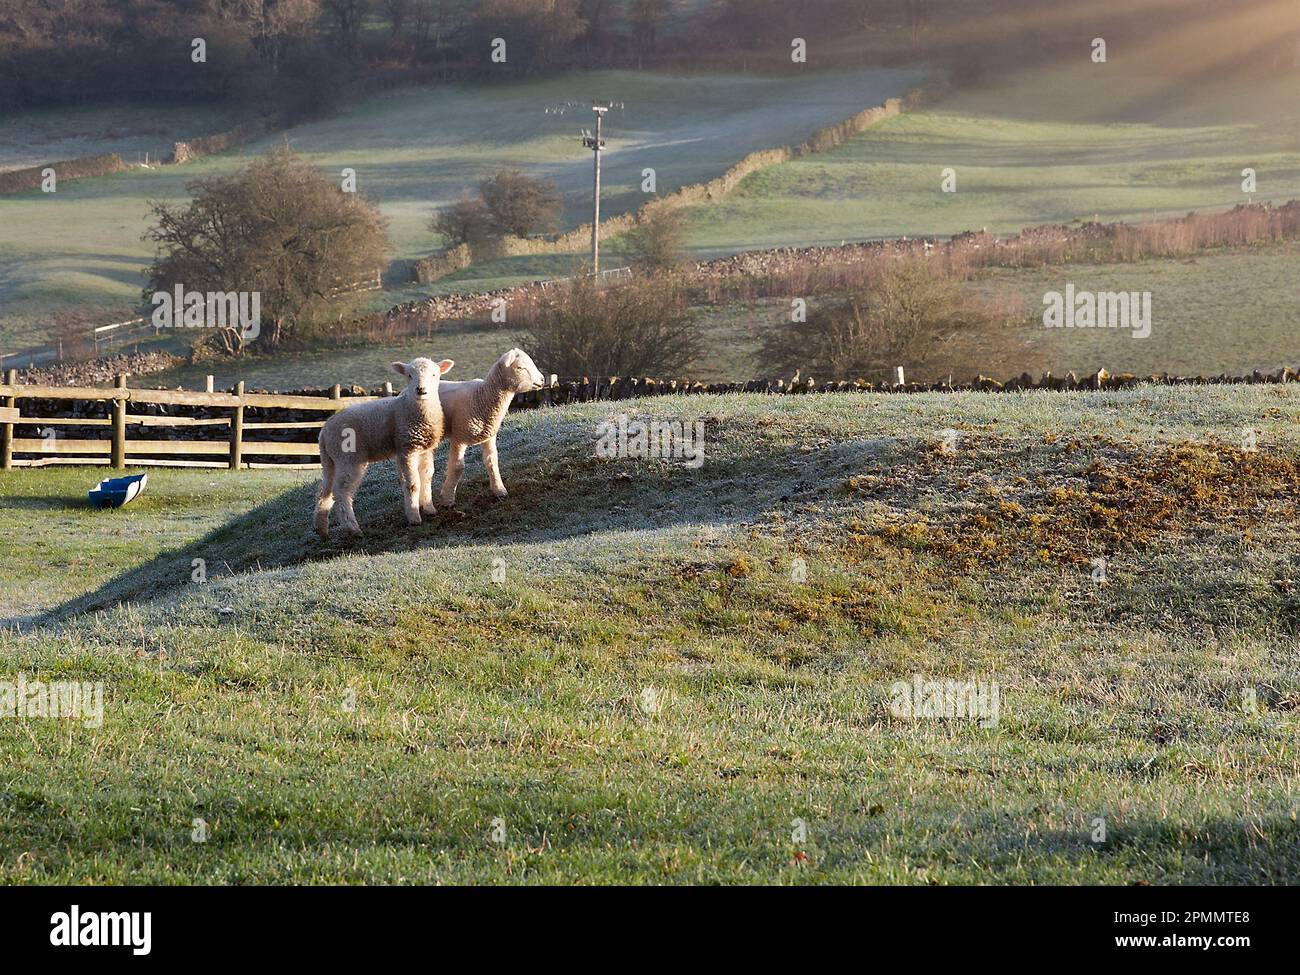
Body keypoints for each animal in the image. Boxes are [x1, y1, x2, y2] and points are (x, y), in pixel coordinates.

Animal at [315, 356, 454, 543]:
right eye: (409, 375)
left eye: (434, 375)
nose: (421, 390)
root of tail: (323, 432)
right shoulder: (406, 448)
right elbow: (412, 483)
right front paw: (414, 517)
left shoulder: (425, 449)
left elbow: (426, 476)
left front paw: (429, 508)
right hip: (348, 457)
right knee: (341, 493)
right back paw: (353, 529)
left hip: (330, 460)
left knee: (325, 491)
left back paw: (322, 530)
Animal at [439, 348, 546, 506]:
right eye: (520, 367)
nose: (542, 379)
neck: (481, 396)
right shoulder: (459, 436)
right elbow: (457, 466)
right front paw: (447, 499)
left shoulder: (488, 435)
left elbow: (491, 461)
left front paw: (499, 491)